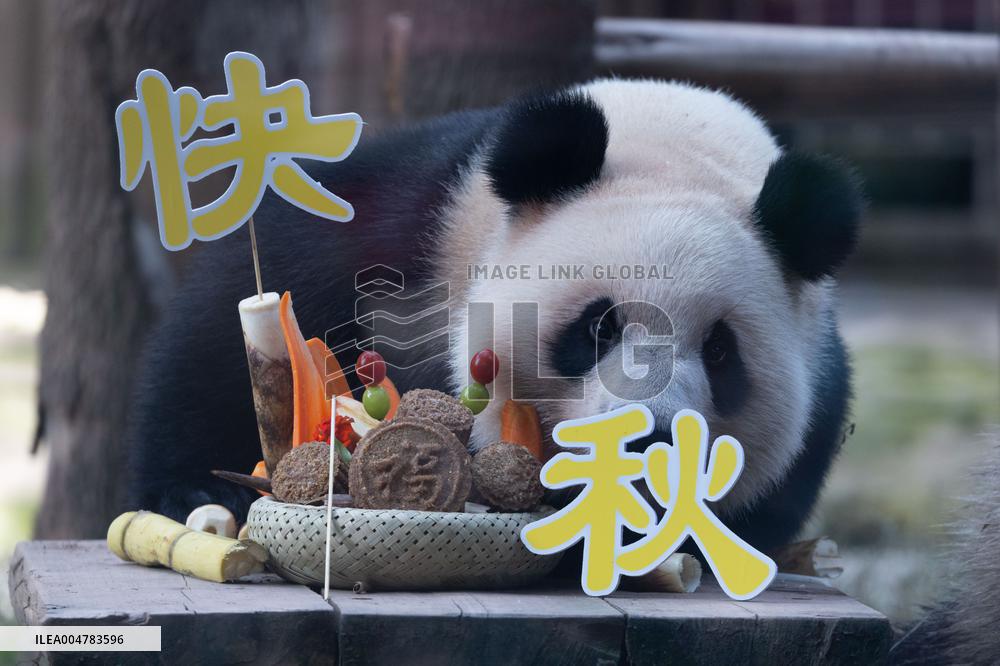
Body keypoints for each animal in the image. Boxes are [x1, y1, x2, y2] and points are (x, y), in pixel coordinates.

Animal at [127, 78, 862, 555]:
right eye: (598, 328)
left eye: (720, 352)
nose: (647, 439)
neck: (674, 146)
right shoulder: (419, 222)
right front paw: (198, 487)